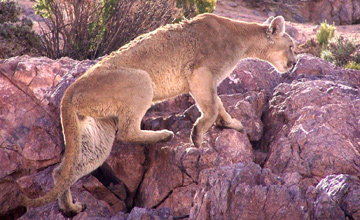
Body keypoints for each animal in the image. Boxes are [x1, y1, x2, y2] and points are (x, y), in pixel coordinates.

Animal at [19, 13, 296, 217]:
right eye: (292, 46)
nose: (294, 63)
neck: (240, 36)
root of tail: (71, 89)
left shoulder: (205, 78)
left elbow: (219, 105)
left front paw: (232, 124)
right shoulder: (200, 73)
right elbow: (212, 105)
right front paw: (198, 134)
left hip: (99, 129)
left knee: (64, 170)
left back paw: (70, 208)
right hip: (141, 80)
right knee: (127, 131)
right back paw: (163, 134)